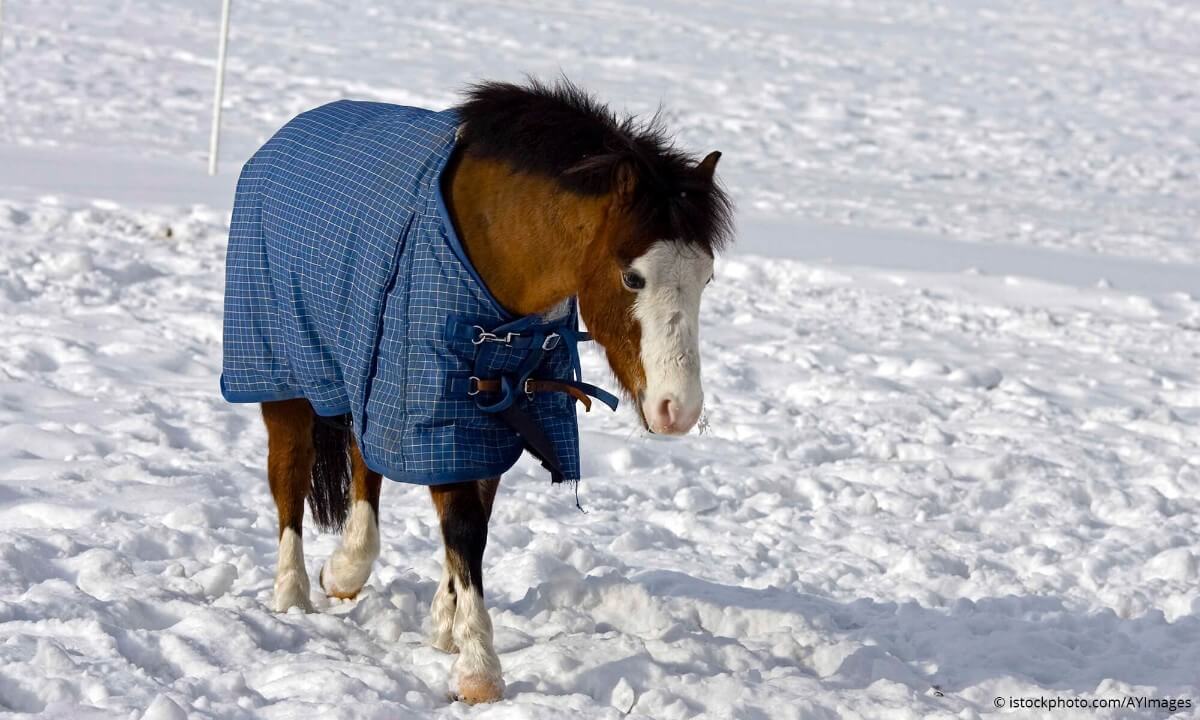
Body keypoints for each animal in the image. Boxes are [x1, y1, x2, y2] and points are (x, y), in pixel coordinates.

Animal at [221, 78, 732, 704]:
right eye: (633, 277)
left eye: (705, 276)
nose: (678, 409)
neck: (496, 244)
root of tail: (283, 138)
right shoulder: (438, 401)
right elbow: (464, 526)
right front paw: (478, 669)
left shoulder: (491, 405)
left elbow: (472, 523)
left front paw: (446, 629)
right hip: (280, 372)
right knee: (289, 474)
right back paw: (292, 594)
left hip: (371, 365)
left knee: (366, 461)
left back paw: (345, 569)